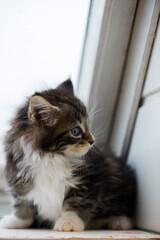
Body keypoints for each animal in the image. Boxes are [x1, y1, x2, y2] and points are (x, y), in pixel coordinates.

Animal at [0, 80, 136, 231]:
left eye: (88, 126)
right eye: (76, 131)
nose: (93, 141)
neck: (50, 158)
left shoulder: (88, 179)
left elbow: (77, 202)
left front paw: (69, 222)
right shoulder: (18, 176)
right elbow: (22, 203)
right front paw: (17, 221)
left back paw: (119, 221)